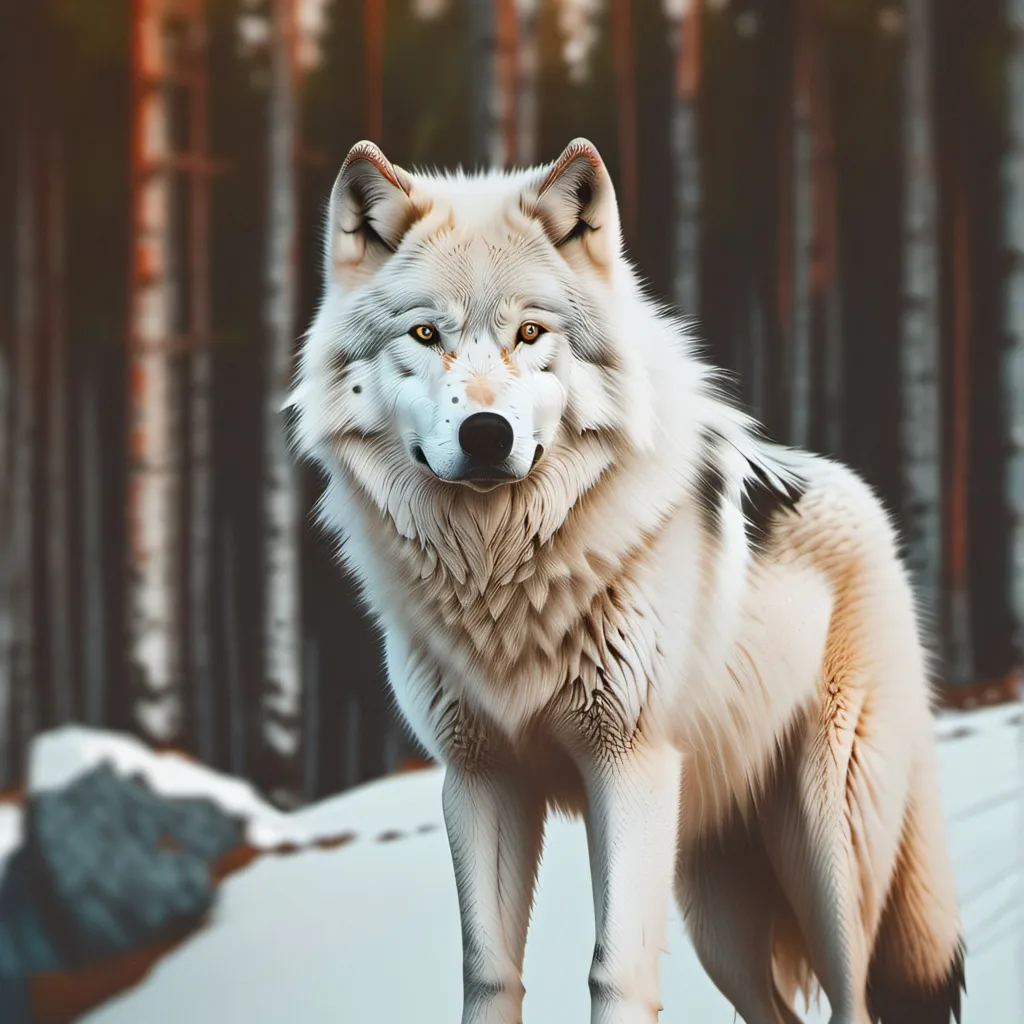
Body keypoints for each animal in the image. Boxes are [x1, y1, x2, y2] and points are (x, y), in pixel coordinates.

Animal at [289, 137, 965, 1024]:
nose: (485, 434)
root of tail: (863, 498)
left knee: (850, 1002)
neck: (501, 574)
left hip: (828, 853)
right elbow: (488, 972)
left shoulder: (627, 765)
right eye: (427, 333)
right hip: (716, 911)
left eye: (530, 332)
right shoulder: (479, 781)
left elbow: (617, 970)